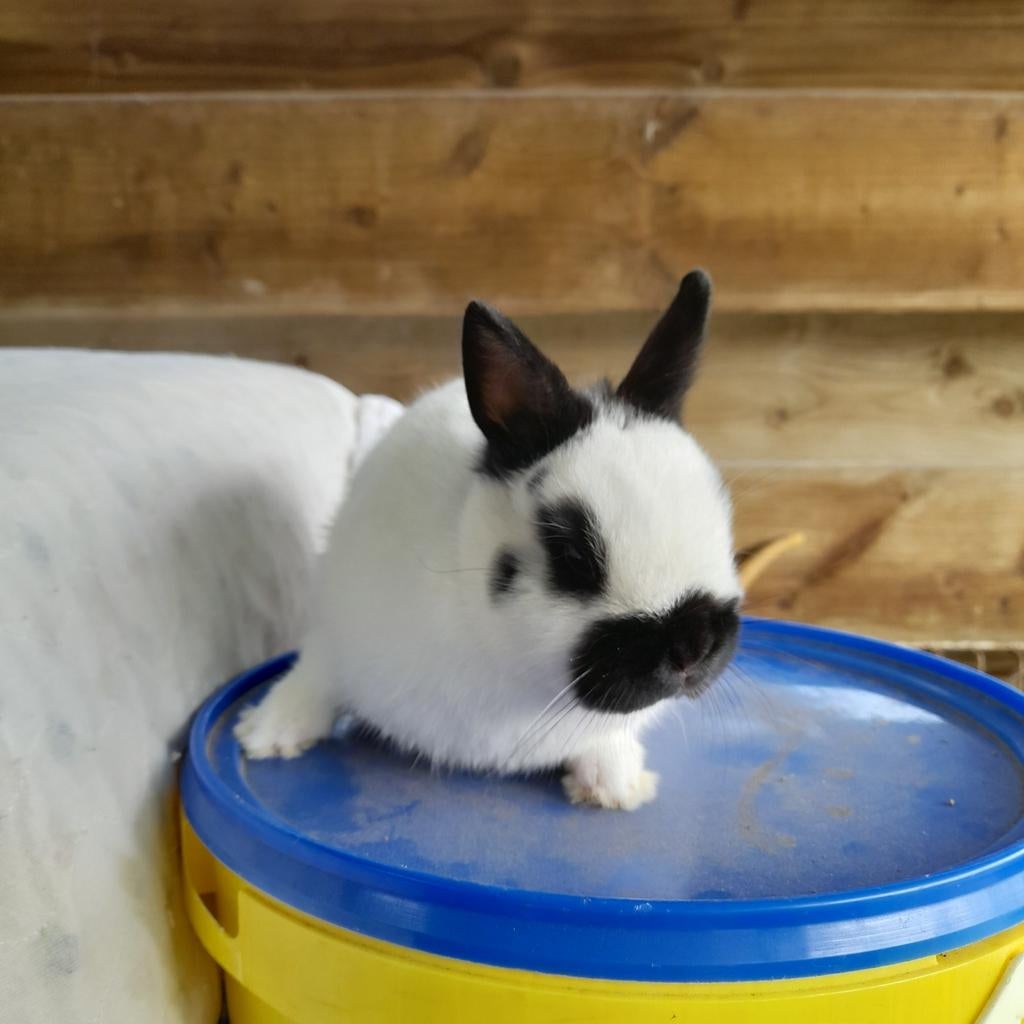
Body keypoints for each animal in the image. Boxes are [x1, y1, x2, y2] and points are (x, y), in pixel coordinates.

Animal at [235, 270, 741, 810]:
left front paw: (617, 788)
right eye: (571, 554)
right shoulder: (337, 633)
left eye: (723, 523)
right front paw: (263, 736)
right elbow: (315, 675)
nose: (692, 649)